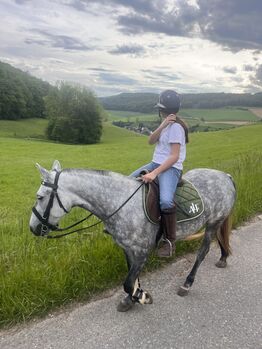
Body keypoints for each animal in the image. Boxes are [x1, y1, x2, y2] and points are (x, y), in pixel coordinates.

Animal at [29, 160, 236, 310]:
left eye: (40, 197)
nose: (33, 228)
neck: (120, 203)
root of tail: (225, 176)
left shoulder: (143, 251)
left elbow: (128, 282)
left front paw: (142, 297)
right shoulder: (128, 249)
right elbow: (132, 277)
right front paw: (133, 298)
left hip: (213, 223)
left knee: (203, 252)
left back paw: (187, 283)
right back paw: (223, 257)